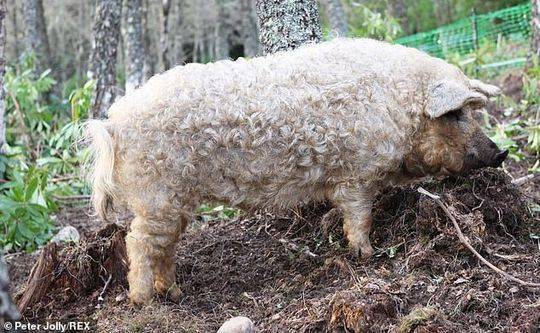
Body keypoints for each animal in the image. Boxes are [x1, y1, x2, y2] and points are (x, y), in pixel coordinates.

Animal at [84, 38, 506, 304]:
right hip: (157, 195)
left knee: (164, 246)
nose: (500, 152)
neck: (398, 109)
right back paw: (142, 302)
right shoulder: (357, 173)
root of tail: (113, 123)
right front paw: (368, 254)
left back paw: (174, 293)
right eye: (455, 113)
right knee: (138, 241)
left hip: (176, 200)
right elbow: (359, 215)